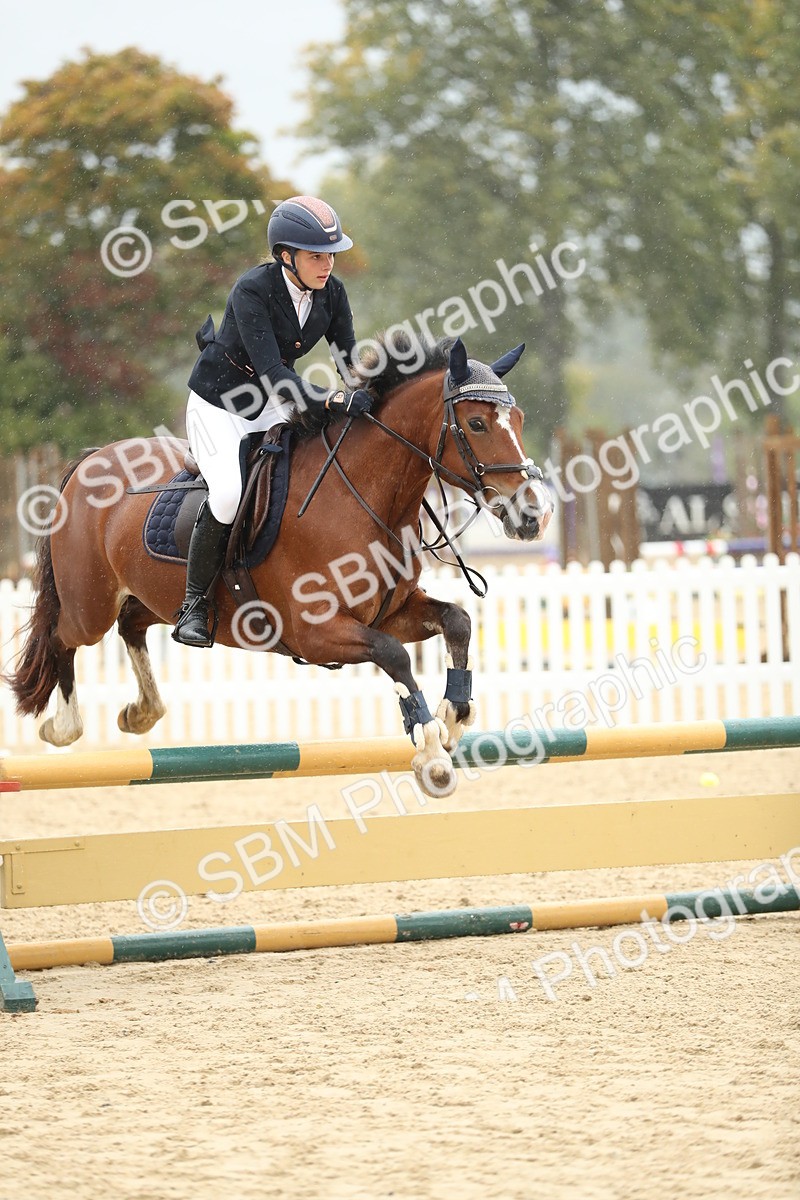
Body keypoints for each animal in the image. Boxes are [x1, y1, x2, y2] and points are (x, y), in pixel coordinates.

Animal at [5, 335, 553, 796]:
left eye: (523, 420)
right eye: (477, 423)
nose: (536, 514)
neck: (360, 495)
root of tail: (91, 460)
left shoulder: (391, 611)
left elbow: (456, 620)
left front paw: (454, 716)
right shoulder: (317, 631)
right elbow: (395, 656)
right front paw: (430, 752)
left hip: (152, 598)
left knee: (131, 624)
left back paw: (141, 712)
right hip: (89, 605)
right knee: (61, 636)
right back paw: (64, 726)